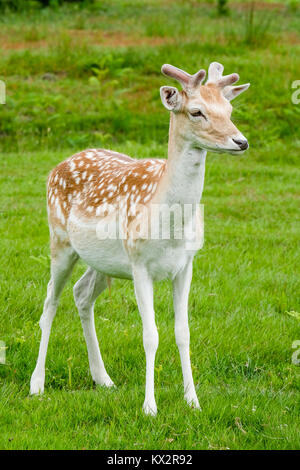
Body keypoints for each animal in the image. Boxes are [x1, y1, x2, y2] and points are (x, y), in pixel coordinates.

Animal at [31, 61, 251, 414]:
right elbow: (150, 335)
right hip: (60, 240)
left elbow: (183, 332)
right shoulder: (140, 264)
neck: (170, 226)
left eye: (229, 109)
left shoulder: (186, 264)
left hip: (103, 261)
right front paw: (150, 407)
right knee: (50, 301)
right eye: (197, 111)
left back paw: (103, 378)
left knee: (81, 293)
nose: (240, 141)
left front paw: (193, 401)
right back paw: (37, 384)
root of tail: (57, 167)